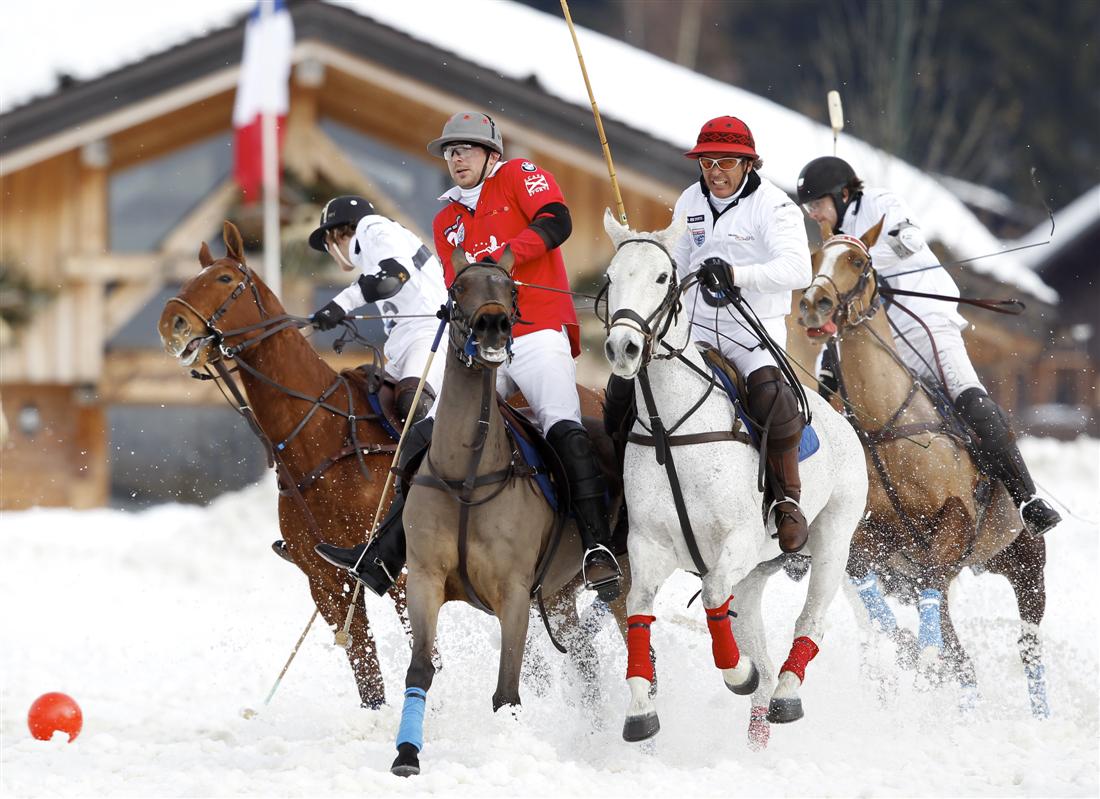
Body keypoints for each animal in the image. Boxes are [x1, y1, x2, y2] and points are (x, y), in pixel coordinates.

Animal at [158, 221, 411, 710]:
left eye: (225, 279)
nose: (169, 324)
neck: (323, 435)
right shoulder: (328, 583)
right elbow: (368, 675)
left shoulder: (404, 573)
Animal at [390, 249, 633, 776]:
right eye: (457, 288)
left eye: (511, 288)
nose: (494, 326)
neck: (466, 473)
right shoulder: (424, 579)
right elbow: (420, 666)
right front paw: (406, 753)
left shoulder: (514, 593)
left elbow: (507, 690)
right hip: (560, 595)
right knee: (584, 665)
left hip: (621, 584)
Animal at [600, 210, 868, 749]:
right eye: (611, 277)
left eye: (662, 278)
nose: (623, 347)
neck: (669, 429)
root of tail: (842, 419)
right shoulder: (647, 545)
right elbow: (639, 608)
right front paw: (640, 710)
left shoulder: (738, 539)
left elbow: (711, 595)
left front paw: (735, 673)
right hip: (756, 575)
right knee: (758, 644)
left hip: (832, 537)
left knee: (811, 621)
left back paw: (786, 692)